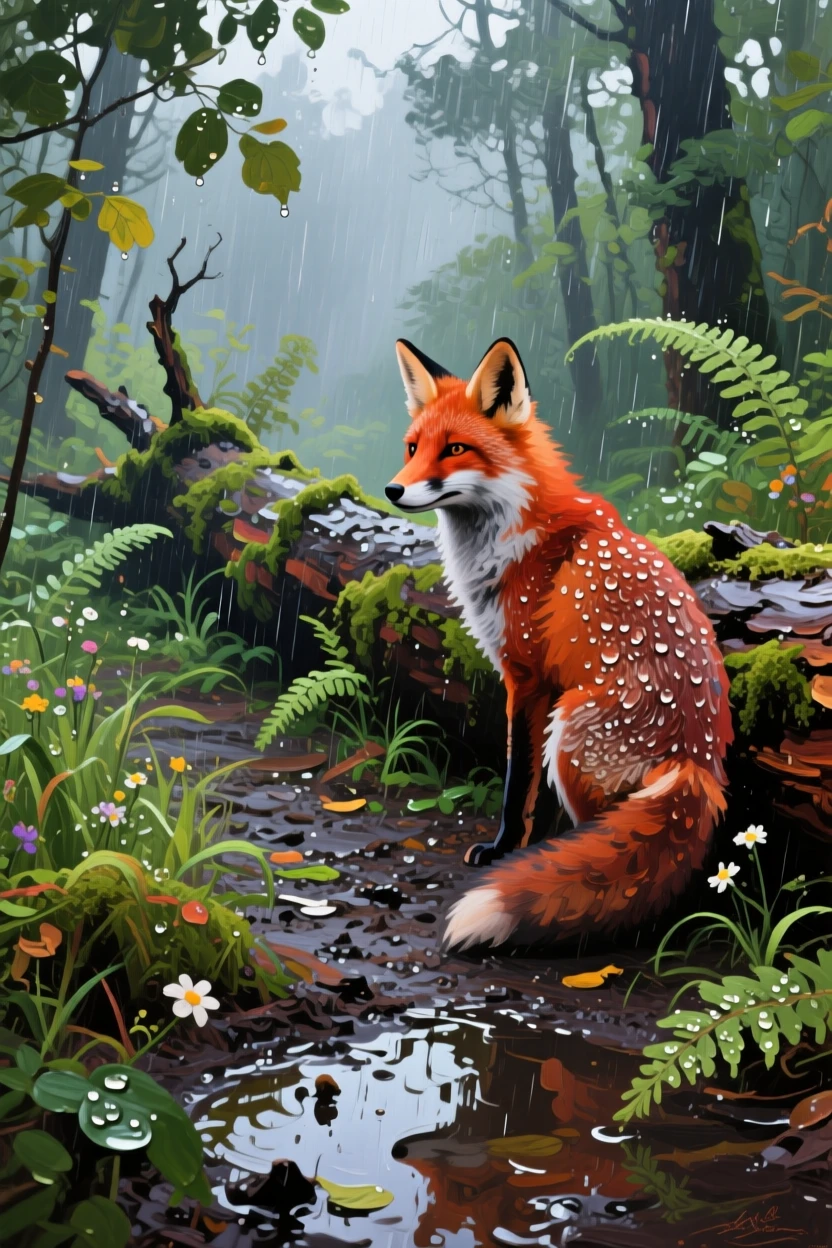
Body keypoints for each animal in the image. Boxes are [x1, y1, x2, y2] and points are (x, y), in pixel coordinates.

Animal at [385, 336, 733, 951]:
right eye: (412, 447)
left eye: (455, 449)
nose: (393, 489)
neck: (511, 531)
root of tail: (698, 765)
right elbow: (530, 795)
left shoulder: (526, 676)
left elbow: (517, 783)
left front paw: (505, 850)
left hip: (569, 728)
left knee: (604, 835)